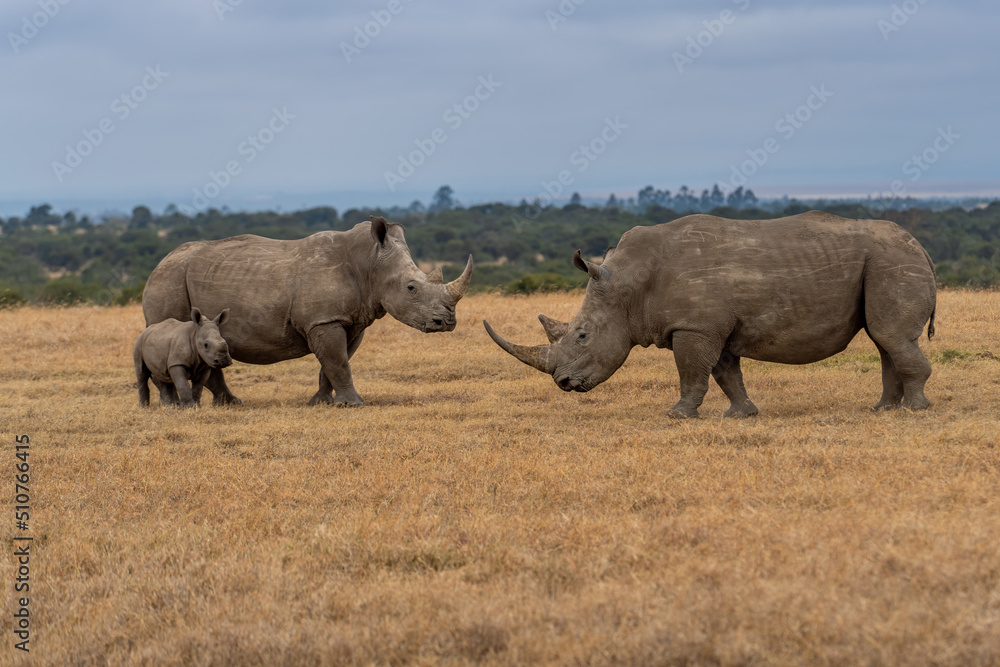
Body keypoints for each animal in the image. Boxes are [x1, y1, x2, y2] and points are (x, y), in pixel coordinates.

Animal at [142, 216, 473, 406]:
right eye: (411, 288)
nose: (447, 322)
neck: (369, 262)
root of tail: (160, 262)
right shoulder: (324, 320)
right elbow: (338, 362)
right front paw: (355, 404)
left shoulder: (349, 320)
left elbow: (335, 362)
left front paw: (321, 402)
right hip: (169, 282)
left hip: (177, 278)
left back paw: (232, 404)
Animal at [485, 211, 937, 418]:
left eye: (582, 335)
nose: (563, 383)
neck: (629, 283)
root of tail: (921, 246)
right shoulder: (711, 327)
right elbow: (724, 372)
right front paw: (741, 414)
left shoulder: (694, 326)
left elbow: (691, 371)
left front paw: (676, 415)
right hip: (886, 261)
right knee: (884, 339)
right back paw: (883, 410)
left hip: (892, 261)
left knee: (890, 336)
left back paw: (915, 410)